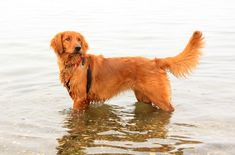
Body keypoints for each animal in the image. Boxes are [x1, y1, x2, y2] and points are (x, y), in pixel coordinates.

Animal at [50, 30, 203, 112]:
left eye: (79, 40)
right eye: (67, 39)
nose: (78, 48)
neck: (73, 64)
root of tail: (155, 61)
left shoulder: (80, 99)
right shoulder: (84, 100)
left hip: (159, 97)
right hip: (144, 97)